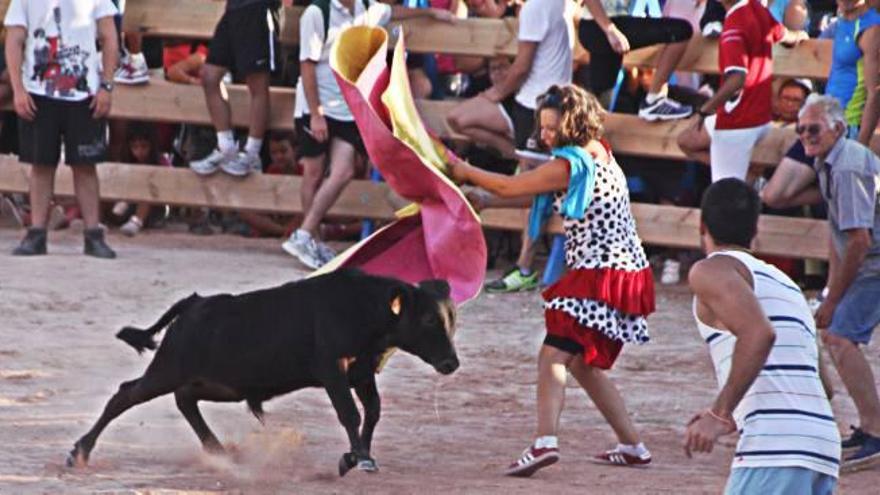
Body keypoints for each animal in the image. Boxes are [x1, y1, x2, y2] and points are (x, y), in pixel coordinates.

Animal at [69, 272, 460, 476]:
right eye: (428, 319)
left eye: (452, 319)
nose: (451, 363)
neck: (364, 308)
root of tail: (194, 304)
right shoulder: (332, 370)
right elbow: (349, 413)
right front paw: (360, 458)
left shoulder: (363, 374)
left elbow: (373, 411)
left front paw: (355, 457)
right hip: (168, 369)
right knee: (126, 394)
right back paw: (80, 452)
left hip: (217, 384)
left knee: (185, 400)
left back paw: (219, 451)